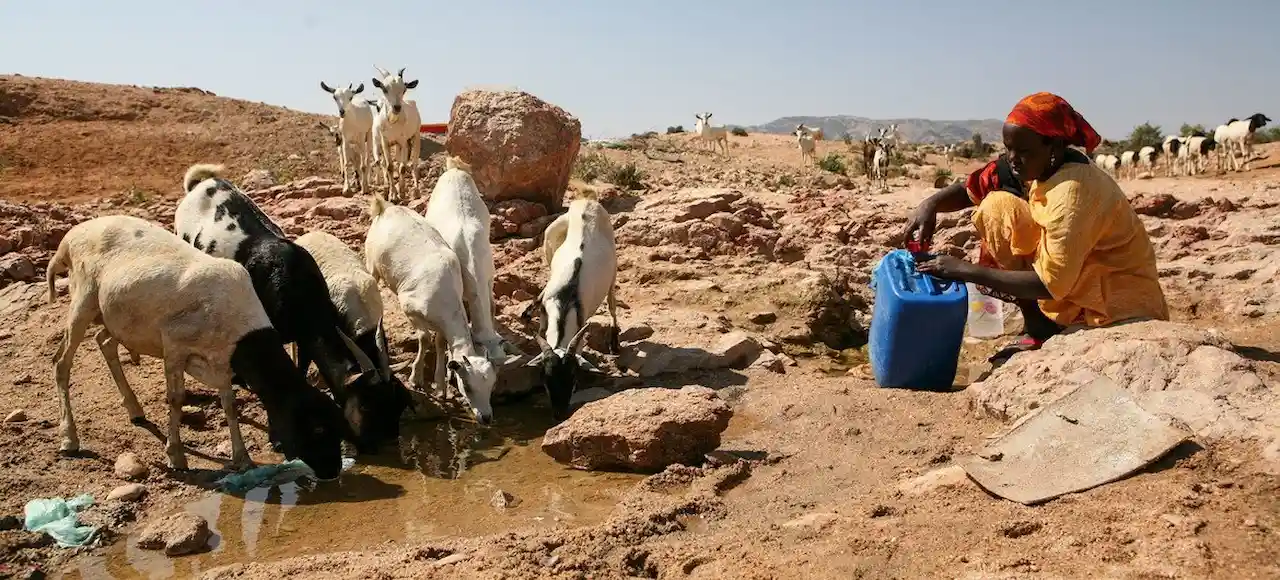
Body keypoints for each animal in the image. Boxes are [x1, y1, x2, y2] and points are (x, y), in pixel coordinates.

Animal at [175, 162, 409, 453]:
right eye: (366, 405)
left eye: (394, 404)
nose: (376, 444)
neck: (297, 288)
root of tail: (201, 185)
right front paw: (276, 435)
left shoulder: (304, 338)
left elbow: (302, 367)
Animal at [366, 192, 499, 422]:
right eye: (467, 386)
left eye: (491, 386)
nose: (486, 418)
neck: (446, 298)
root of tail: (385, 207)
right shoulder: (410, 307)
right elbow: (425, 338)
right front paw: (416, 379)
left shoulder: (442, 323)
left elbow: (439, 342)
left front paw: (440, 386)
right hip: (371, 264)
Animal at [373, 65, 422, 199]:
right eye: (384, 88)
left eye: (404, 89)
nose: (397, 107)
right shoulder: (385, 142)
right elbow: (389, 166)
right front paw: (393, 194)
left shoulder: (403, 141)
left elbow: (402, 167)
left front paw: (402, 192)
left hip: (416, 135)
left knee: (414, 163)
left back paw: (415, 190)